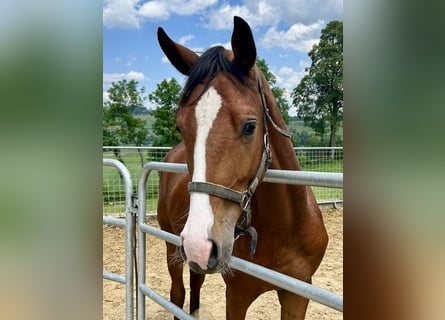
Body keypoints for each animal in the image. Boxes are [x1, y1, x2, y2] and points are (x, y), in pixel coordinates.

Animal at [156, 15, 326, 320]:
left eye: (250, 126)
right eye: (180, 126)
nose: (200, 243)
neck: (284, 230)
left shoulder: (298, 294)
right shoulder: (236, 295)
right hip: (172, 245)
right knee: (178, 293)